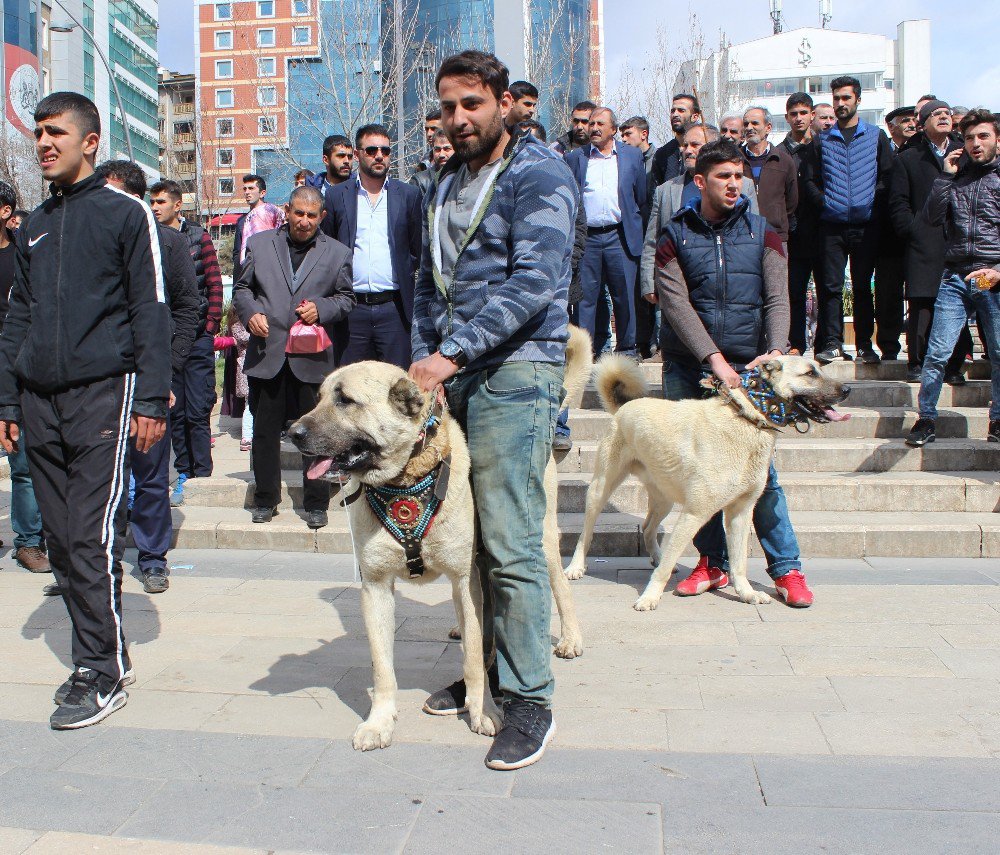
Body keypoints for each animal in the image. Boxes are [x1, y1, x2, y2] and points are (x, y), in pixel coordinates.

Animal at [286, 326, 588, 748]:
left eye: (346, 400)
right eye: (319, 399)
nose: (292, 432)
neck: (405, 479)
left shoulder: (463, 579)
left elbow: (474, 657)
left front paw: (483, 711)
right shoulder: (375, 587)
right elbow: (382, 667)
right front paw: (380, 722)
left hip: (535, 540)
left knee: (556, 585)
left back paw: (570, 638)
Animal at [564, 352, 844, 608]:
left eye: (819, 369)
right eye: (810, 373)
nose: (847, 390)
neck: (748, 417)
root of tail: (623, 408)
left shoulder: (740, 513)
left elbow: (739, 563)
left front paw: (746, 594)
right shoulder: (694, 513)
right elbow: (668, 563)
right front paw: (649, 597)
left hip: (664, 499)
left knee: (647, 528)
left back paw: (657, 556)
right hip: (601, 488)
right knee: (585, 533)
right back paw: (576, 567)